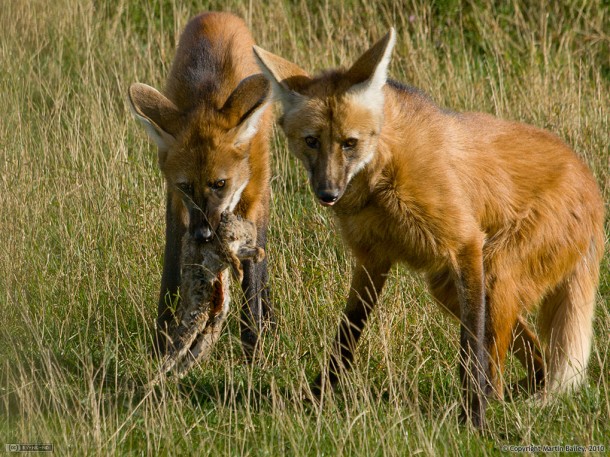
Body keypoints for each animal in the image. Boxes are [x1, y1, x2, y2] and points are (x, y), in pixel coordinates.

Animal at [128, 12, 274, 358]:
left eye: (219, 183)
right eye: (186, 185)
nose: (204, 234)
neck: (208, 96)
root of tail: (218, 15)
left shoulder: (253, 198)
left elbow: (253, 279)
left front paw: (253, 348)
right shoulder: (176, 203)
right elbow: (170, 269)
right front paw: (162, 342)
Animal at [253, 29, 604, 428]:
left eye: (349, 143)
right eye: (312, 141)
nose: (327, 193)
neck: (382, 177)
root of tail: (590, 182)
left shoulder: (466, 244)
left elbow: (470, 348)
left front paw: (474, 420)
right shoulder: (372, 260)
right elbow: (346, 335)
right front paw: (317, 397)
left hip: (494, 273)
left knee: (496, 365)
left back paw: (493, 404)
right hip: (450, 287)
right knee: (534, 354)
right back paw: (521, 394)